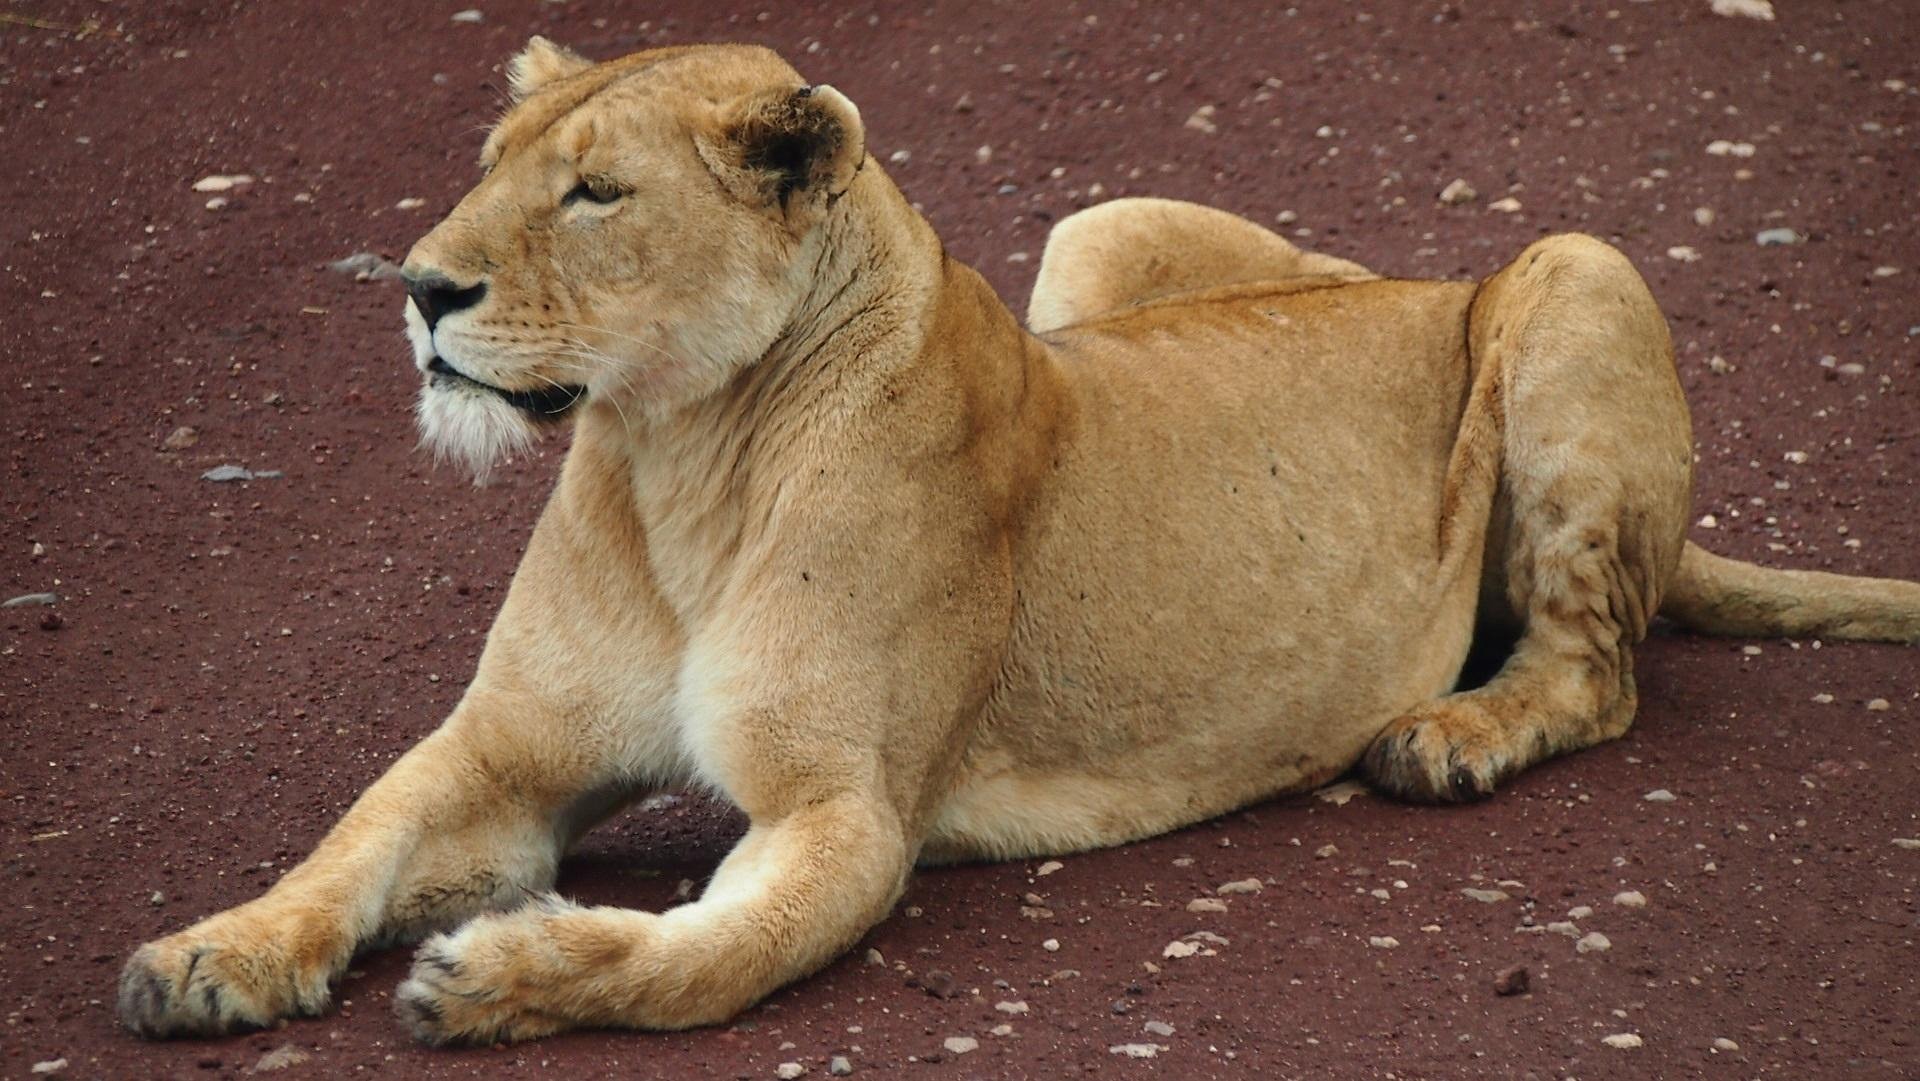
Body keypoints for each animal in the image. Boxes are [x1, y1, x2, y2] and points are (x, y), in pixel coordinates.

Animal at [118, 39, 1920, 1044]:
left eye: (597, 194)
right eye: (487, 166)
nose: (419, 290)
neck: (675, 458)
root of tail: (1426, 275)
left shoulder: (848, 815)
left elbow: (698, 963)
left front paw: (501, 980)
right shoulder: (502, 752)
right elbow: (352, 839)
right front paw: (211, 952)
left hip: (1574, 265)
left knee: (1597, 667)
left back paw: (1452, 736)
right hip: (1101, 228)